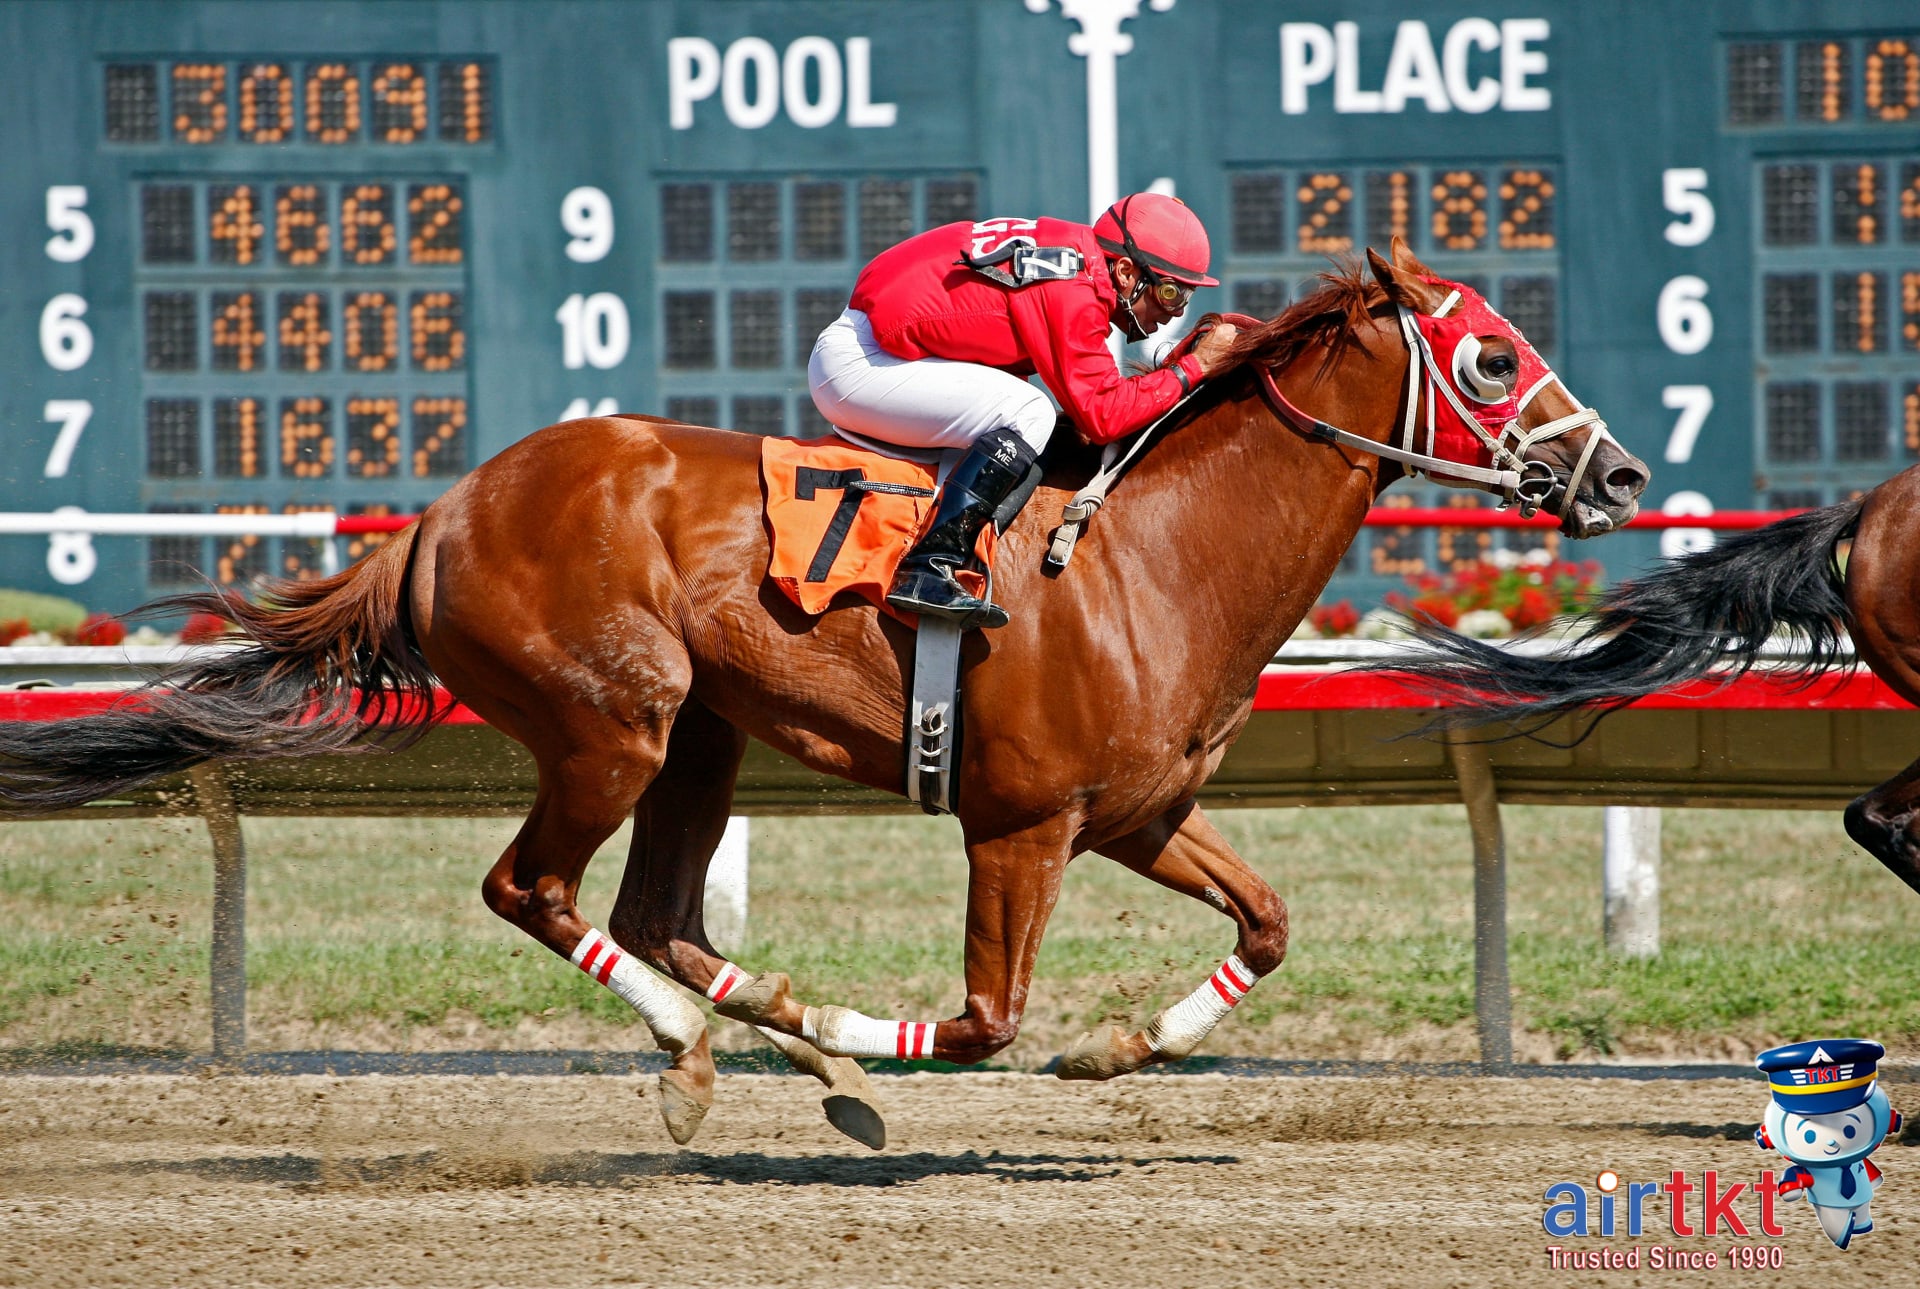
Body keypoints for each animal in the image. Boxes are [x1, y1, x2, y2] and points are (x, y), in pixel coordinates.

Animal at [0, 237, 1648, 1146]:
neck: (1154, 561)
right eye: (1491, 359)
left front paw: (1117, 1049)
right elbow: (981, 1022)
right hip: (615, 720)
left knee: (658, 912)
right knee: (537, 890)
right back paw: (702, 1054)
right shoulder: (1020, 825)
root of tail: (444, 513)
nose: (1622, 474)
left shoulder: (1137, 813)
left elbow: (1269, 922)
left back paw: (764, 1035)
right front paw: (888, 1049)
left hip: (702, 738)